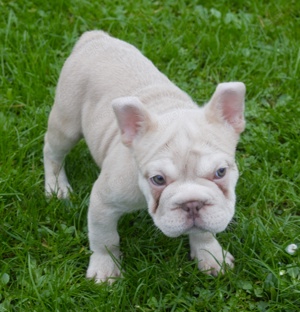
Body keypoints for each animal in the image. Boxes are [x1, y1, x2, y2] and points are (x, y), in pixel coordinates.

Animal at [44, 30, 246, 282]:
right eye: (158, 179)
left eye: (220, 172)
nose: (192, 204)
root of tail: (94, 37)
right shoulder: (103, 202)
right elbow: (105, 239)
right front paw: (105, 268)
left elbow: (205, 231)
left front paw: (210, 254)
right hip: (66, 123)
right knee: (52, 151)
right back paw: (56, 186)